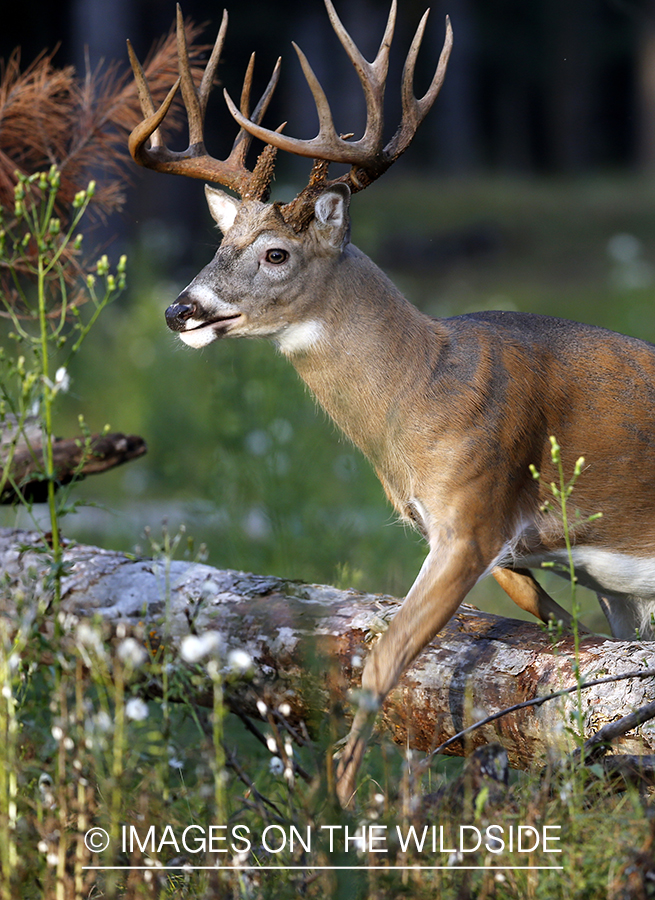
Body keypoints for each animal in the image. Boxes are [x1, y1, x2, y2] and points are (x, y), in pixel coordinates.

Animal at [129, 1, 655, 808]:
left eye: (276, 253)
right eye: (222, 242)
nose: (180, 311)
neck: (419, 387)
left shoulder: (472, 515)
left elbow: (381, 664)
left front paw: (341, 806)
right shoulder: (501, 541)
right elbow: (570, 642)